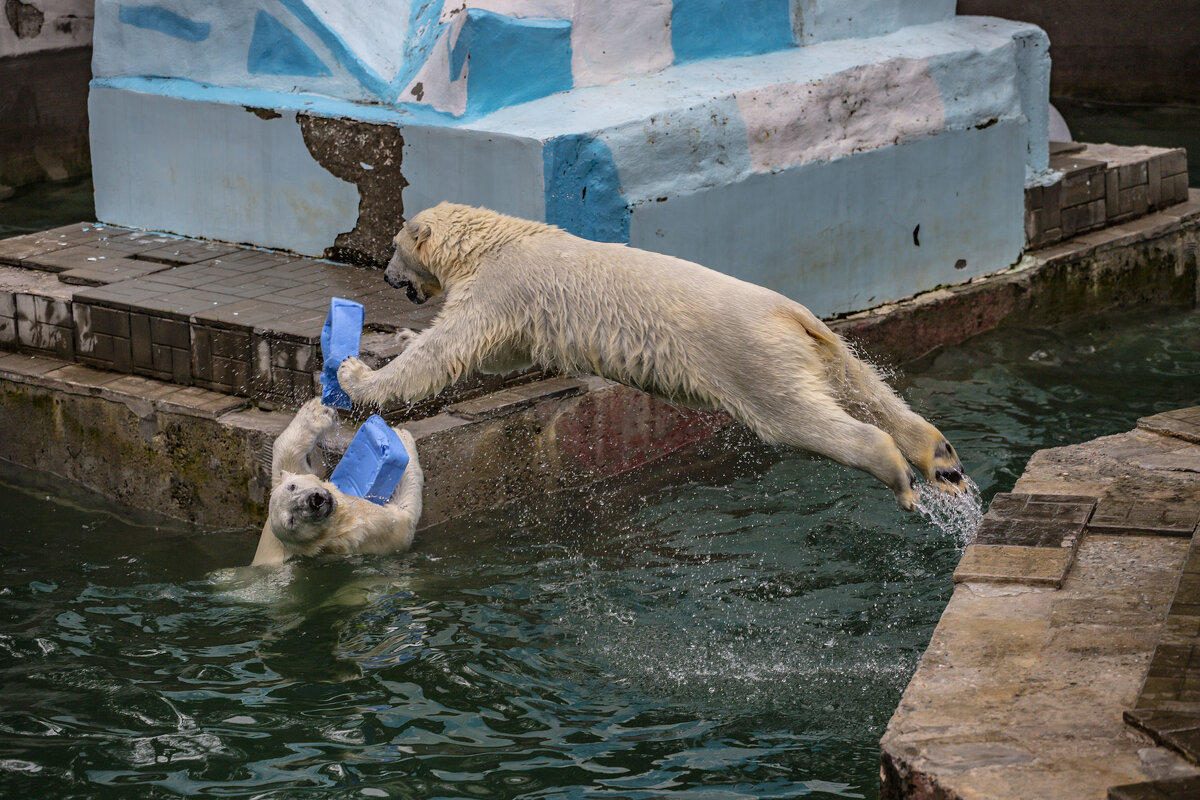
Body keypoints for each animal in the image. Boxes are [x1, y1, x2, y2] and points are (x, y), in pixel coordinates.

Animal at [338, 203, 964, 510]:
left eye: (392, 247)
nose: (388, 279)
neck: (498, 238)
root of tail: (793, 314)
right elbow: (498, 356)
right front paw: (397, 339)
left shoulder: (502, 286)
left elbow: (450, 350)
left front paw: (357, 372)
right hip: (824, 345)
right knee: (865, 386)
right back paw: (941, 460)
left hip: (752, 356)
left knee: (797, 416)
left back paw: (898, 474)